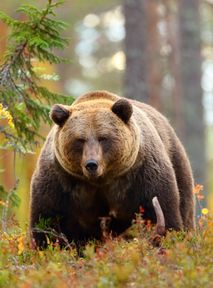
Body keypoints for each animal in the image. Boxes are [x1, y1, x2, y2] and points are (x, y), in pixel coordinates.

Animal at [29, 90, 195, 248]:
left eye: (103, 138)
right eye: (80, 140)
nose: (91, 164)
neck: (101, 180)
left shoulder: (142, 175)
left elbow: (161, 213)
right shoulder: (60, 182)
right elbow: (46, 222)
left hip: (177, 163)